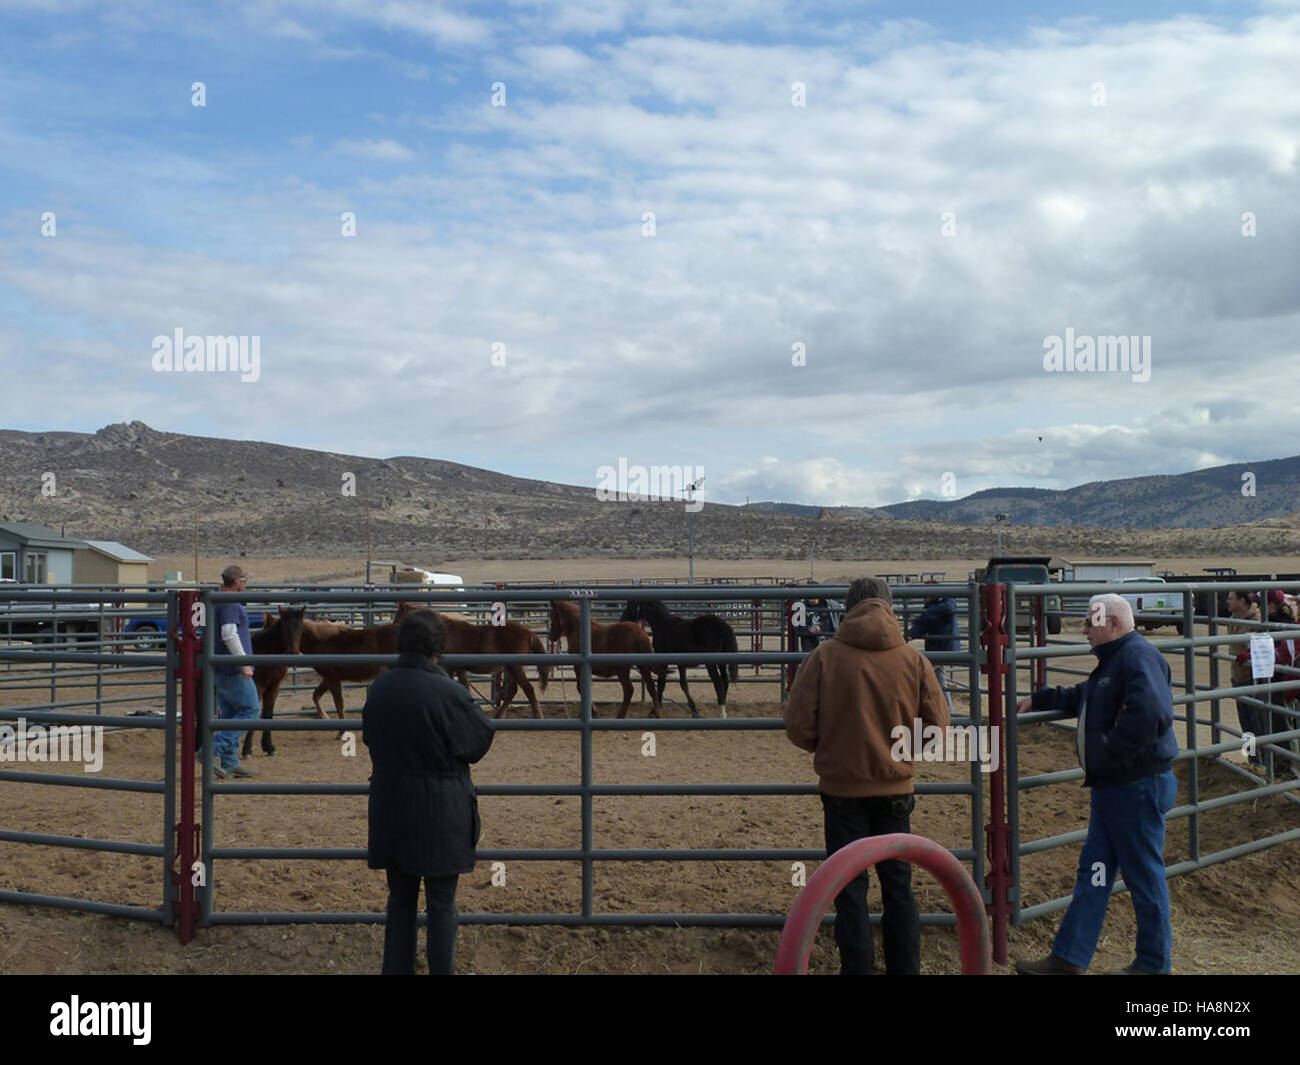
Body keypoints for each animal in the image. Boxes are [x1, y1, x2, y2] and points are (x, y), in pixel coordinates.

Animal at [240, 606, 306, 758]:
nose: (293, 653)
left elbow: (268, 714)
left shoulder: (274, 687)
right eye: (284, 627)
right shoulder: (257, 686)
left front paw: (269, 747)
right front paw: (247, 750)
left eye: (301, 627)